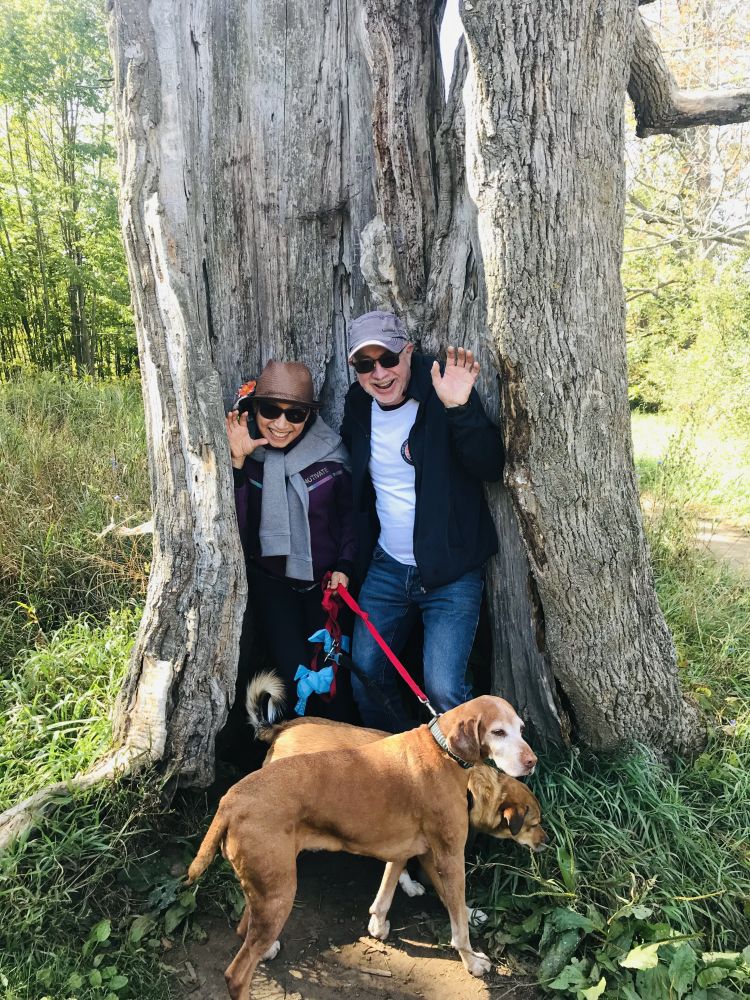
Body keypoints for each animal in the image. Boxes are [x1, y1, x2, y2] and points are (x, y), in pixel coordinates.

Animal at [191, 696, 536, 1000]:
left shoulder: (403, 849)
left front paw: (379, 924)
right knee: (236, 974)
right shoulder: (449, 858)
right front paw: (472, 960)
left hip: (266, 888)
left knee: (243, 929)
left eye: (521, 728)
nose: (532, 762)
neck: (443, 750)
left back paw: (268, 948)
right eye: (498, 732)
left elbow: (386, 891)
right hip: (280, 894)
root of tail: (231, 799)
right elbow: (458, 924)